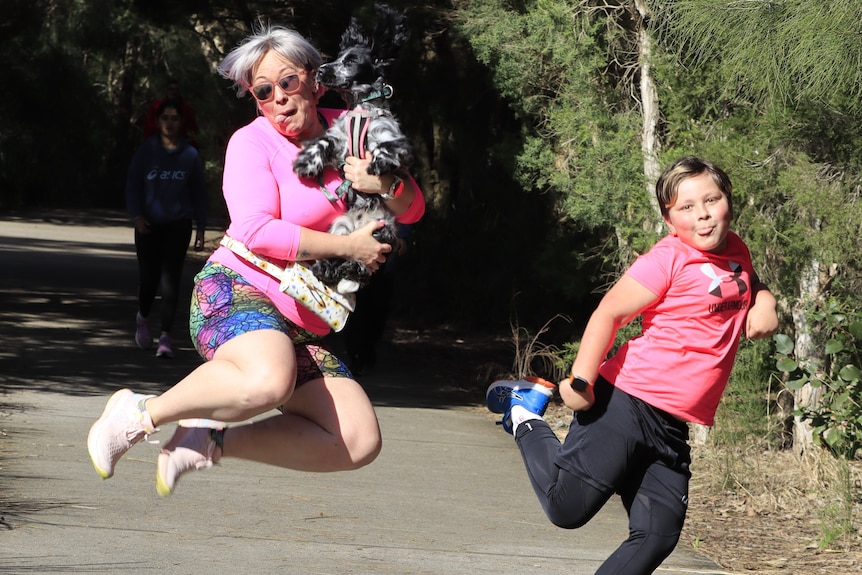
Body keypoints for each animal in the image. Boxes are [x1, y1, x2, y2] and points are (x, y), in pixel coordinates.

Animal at [294, 5, 416, 296]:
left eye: (350, 62)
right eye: (339, 57)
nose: (321, 70)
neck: (362, 111)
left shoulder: (399, 142)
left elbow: (387, 146)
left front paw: (377, 163)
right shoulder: (340, 143)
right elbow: (324, 142)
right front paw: (307, 162)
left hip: (382, 232)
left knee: (362, 267)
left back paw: (348, 270)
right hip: (340, 227)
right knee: (341, 256)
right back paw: (325, 268)